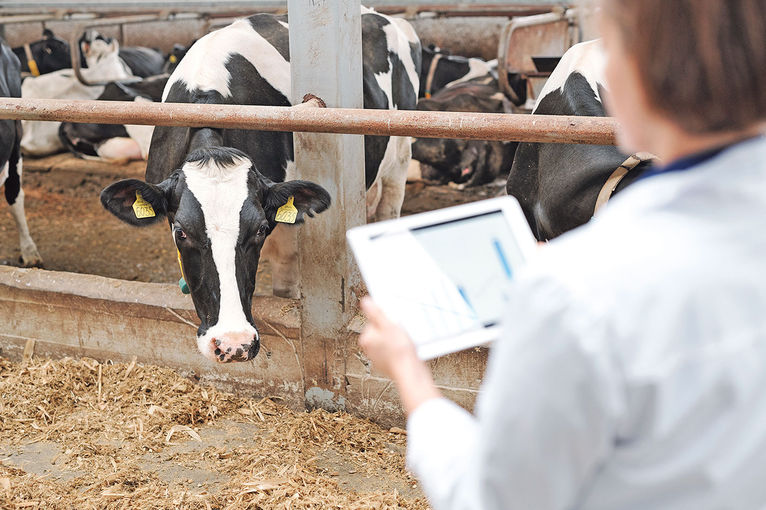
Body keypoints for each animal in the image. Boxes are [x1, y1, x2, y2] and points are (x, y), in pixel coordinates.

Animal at [100, 9, 424, 364]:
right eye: (180, 233)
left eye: (260, 229)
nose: (233, 344)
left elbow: (284, 285)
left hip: (400, 153)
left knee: (390, 208)